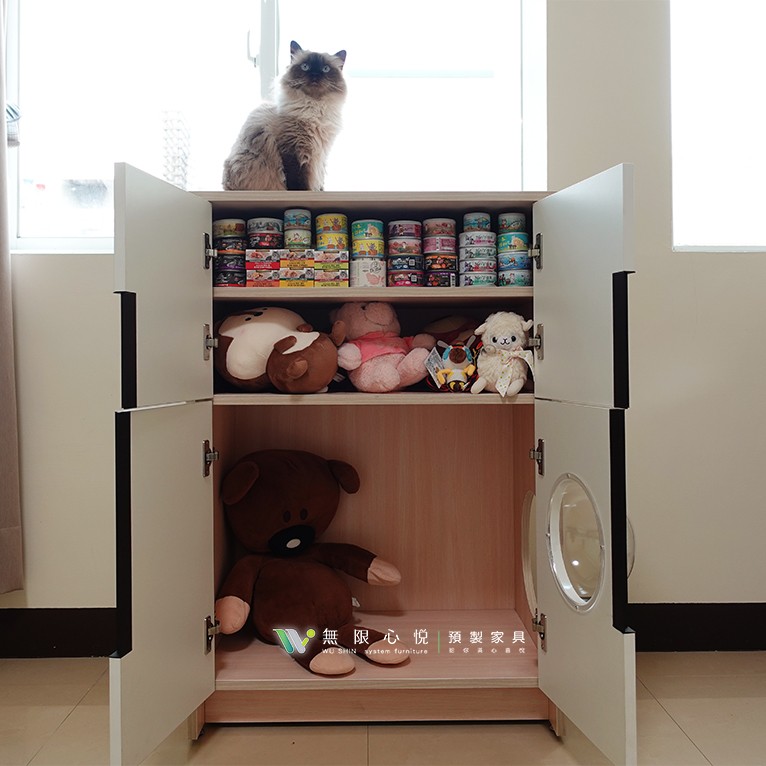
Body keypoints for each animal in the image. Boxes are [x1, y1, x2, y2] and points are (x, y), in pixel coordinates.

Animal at [222, 41, 347, 191]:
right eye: (305, 67)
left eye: (325, 69)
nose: (315, 75)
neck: (314, 109)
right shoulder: (292, 150)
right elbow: (298, 183)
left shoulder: (321, 153)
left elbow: (319, 180)